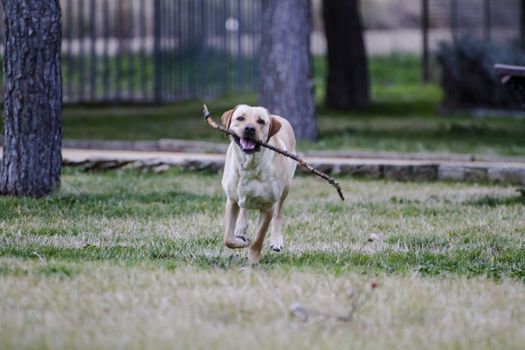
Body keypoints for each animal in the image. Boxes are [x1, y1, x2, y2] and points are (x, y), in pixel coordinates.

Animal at [220, 104, 296, 262]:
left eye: (261, 121)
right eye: (240, 118)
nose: (249, 128)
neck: (249, 164)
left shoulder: (268, 206)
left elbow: (258, 240)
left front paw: (253, 262)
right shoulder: (231, 200)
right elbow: (228, 238)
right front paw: (241, 241)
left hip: (286, 187)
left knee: (278, 214)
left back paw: (276, 241)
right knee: (243, 207)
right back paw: (241, 228)